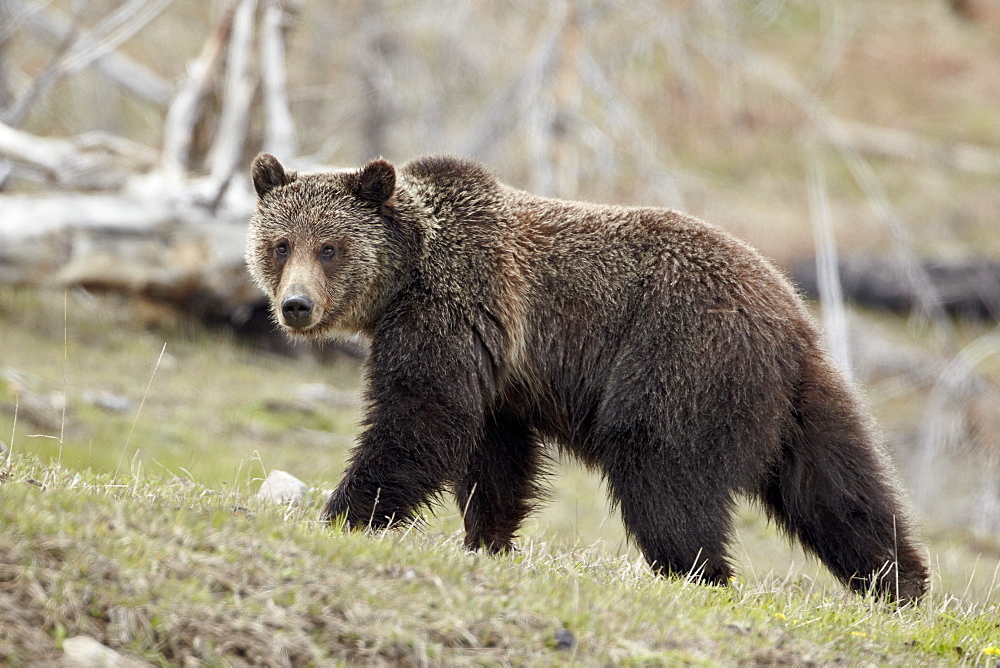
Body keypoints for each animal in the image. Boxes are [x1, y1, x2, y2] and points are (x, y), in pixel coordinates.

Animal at [248, 154, 928, 604]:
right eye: (280, 244)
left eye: (329, 247)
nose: (296, 306)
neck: (407, 274)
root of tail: (789, 311)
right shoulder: (500, 368)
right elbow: (494, 454)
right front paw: (487, 537)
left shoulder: (454, 309)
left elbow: (420, 417)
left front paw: (346, 512)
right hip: (803, 397)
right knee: (841, 489)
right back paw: (900, 584)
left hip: (679, 356)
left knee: (659, 464)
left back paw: (697, 572)